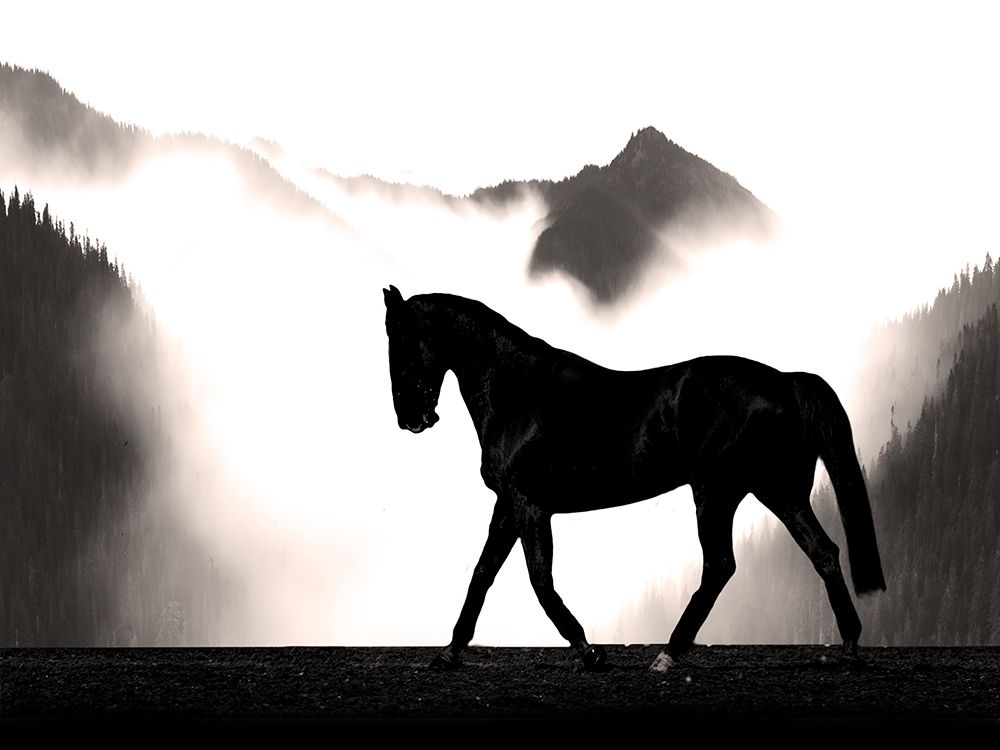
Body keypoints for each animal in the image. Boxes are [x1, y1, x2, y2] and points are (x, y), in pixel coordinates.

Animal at [382, 285, 885, 672]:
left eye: (400, 340)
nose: (410, 418)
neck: (518, 393)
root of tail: (785, 380)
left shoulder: (529, 505)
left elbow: (539, 579)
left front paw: (590, 652)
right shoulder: (508, 505)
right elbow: (482, 573)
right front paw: (448, 653)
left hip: (717, 492)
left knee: (720, 566)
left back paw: (668, 654)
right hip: (779, 492)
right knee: (823, 552)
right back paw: (849, 648)